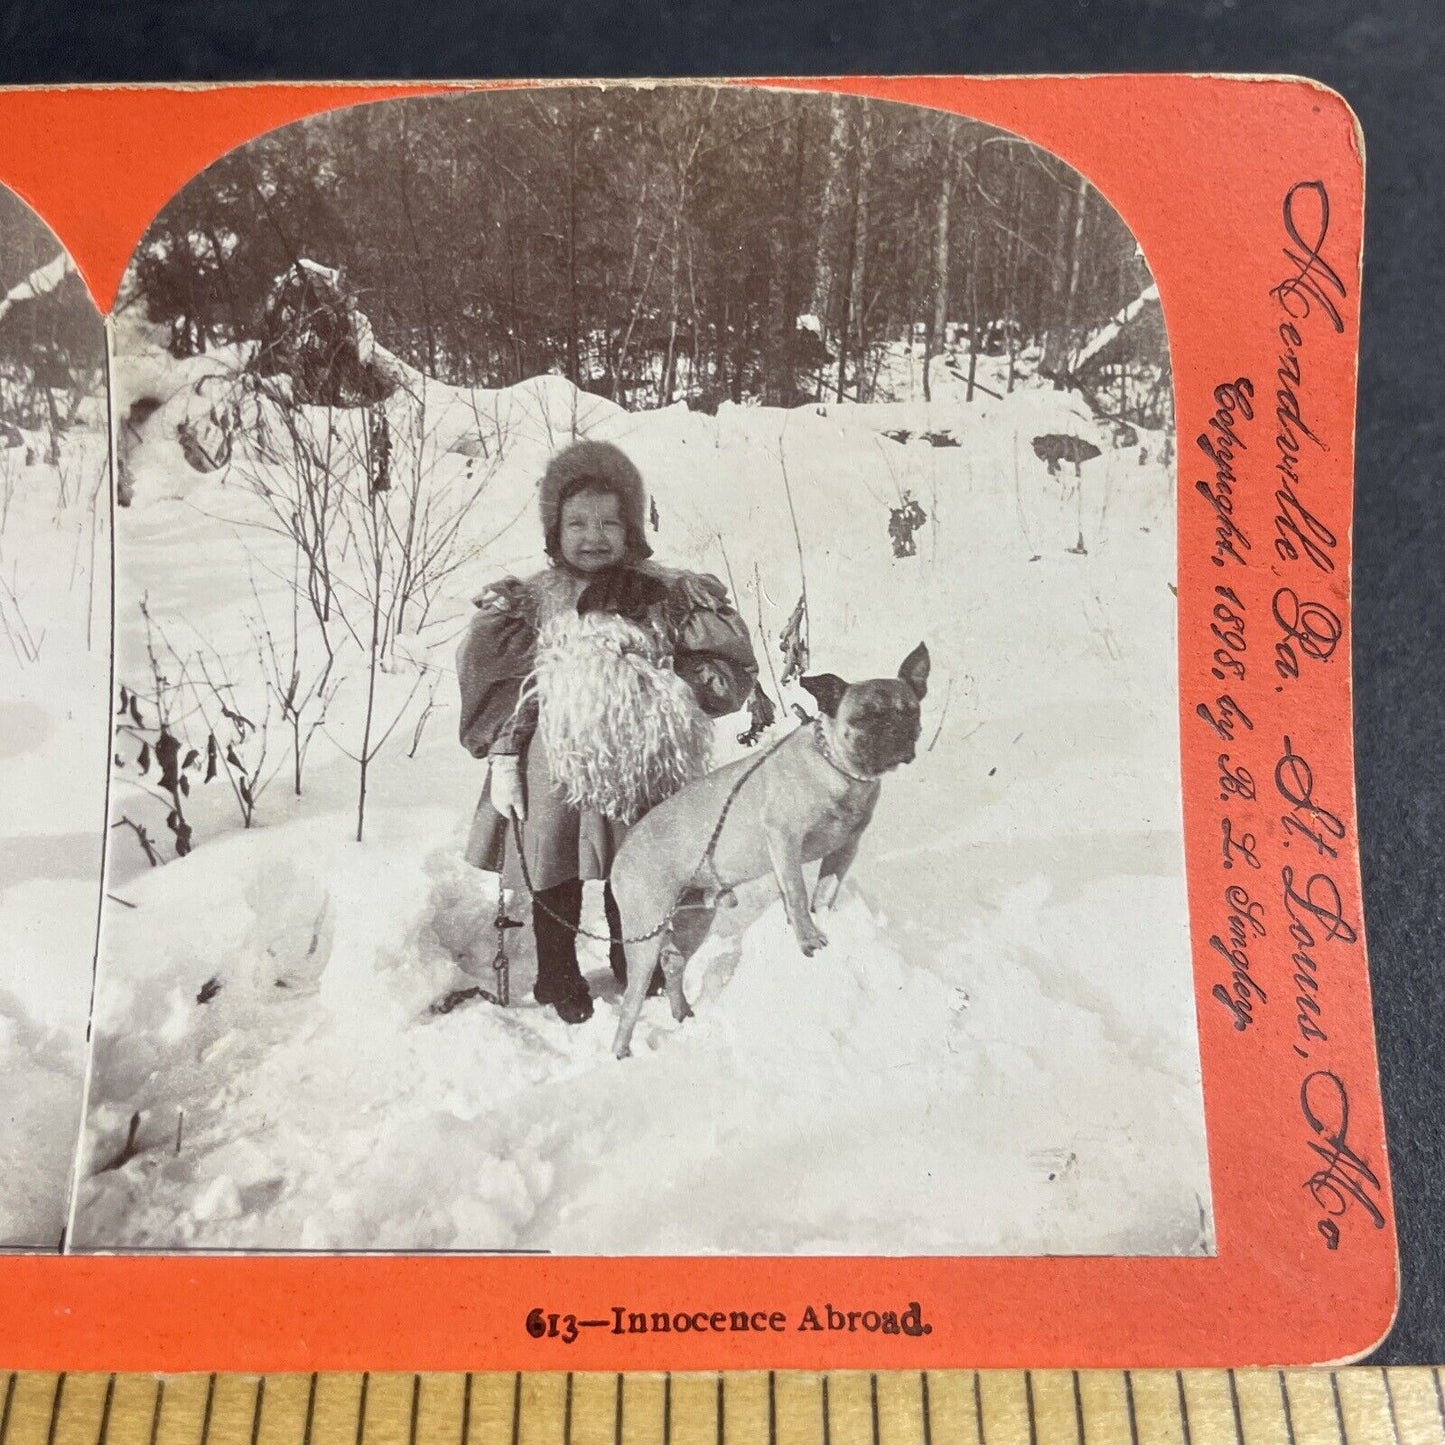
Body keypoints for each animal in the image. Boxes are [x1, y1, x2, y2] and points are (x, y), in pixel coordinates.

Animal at [606, 644, 924, 1063]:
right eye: (865, 717)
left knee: (673, 964)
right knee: (633, 997)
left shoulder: (844, 849)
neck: (837, 769)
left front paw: (819, 923)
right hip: (645, 931)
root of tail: (623, 850)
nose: (896, 731)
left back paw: (683, 1013)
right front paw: (808, 940)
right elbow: (798, 893)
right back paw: (622, 1050)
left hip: (695, 918)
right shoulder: (784, 840)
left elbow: (824, 892)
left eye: (911, 711)